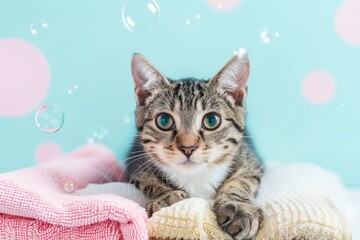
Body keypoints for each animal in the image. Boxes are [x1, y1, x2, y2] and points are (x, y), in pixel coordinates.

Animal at [125, 52, 262, 240]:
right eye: (164, 121)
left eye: (211, 120)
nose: (188, 147)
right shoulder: (136, 164)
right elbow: (152, 181)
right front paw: (168, 197)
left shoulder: (251, 163)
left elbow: (240, 182)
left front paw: (238, 208)